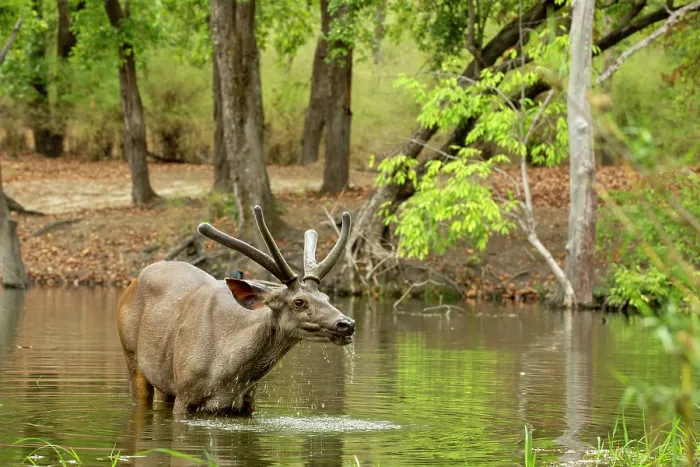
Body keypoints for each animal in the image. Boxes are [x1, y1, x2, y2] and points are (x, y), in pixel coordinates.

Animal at [117, 205, 355, 415]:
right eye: (299, 302)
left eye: (326, 297)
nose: (347, 324)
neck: (226, 374)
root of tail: (132, 281)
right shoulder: (185, 393)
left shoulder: (247, 402)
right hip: (132, 356)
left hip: (164, 379)